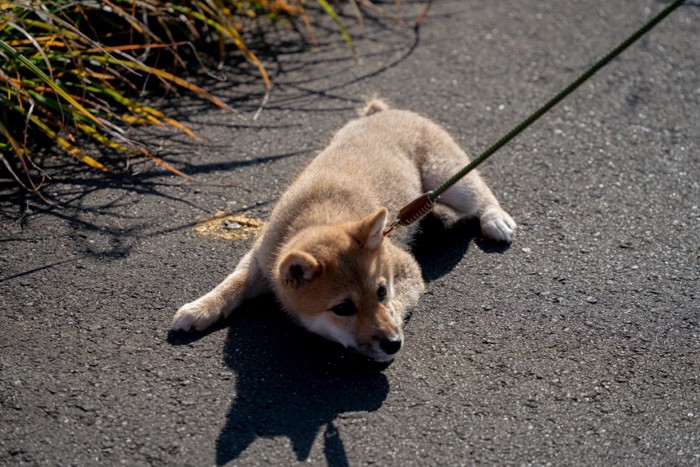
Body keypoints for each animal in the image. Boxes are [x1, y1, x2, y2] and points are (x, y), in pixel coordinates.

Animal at [174, 98, 516, 362]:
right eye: (343, 308)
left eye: (381, 292)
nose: (393, 343)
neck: (317, 216)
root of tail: (387, 112)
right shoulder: (262, 258)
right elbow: (232, 284)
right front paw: (200, 308)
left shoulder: (405, 268)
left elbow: (399, 303)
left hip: (446, 179)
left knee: (480, 192)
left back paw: (496, 219)